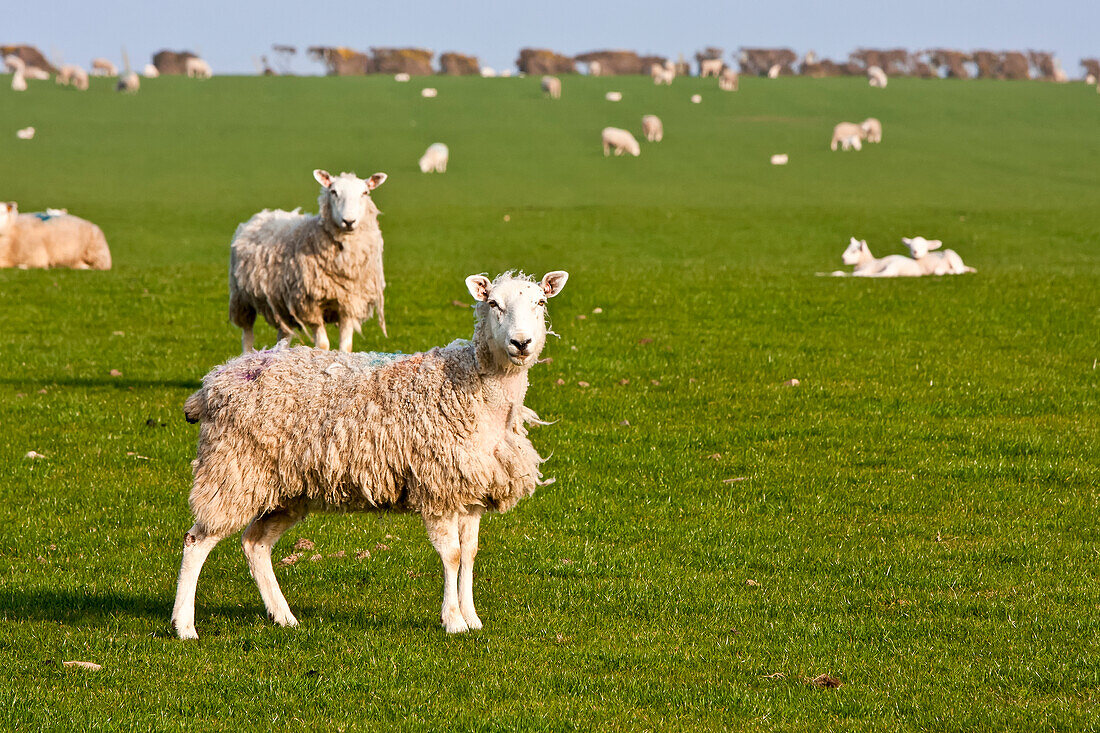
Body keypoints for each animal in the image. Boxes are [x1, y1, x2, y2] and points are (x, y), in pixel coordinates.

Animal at [169, 267, 576, 633]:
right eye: (493, 303)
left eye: (541, 302)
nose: (521, 343)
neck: (473, 386)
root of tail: (215, 380)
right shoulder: (438, 486)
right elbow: (452, 554)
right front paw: (453, 621)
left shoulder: (470, 488)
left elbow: (470, 552)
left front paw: (472, 617)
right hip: (231, 470)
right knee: (196, 542)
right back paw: (184, 626)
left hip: (286, 487)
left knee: (255, 544)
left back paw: (284, 617)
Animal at [227, 168, 391, 352]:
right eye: (333, 192)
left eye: (365, 193)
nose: (349, 221)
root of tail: (262, 215)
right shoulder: (309, 305)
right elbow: (323, 345)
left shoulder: (349, 304)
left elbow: (346, 346)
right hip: (241, 298)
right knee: (247, 333)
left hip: (282, 305)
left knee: (283, 335)